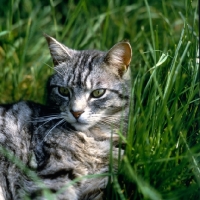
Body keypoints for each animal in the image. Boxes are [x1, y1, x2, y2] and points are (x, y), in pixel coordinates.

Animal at [0, 35, 132, 199]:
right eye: (63, 91)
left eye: (98, 93)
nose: (76, 112)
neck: (93, 138)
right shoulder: (52, 176)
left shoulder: (99, 184)